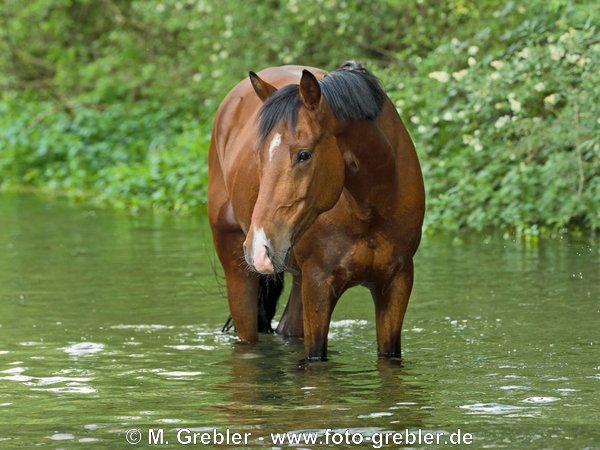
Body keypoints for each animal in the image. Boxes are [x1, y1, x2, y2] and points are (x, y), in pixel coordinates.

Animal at [209, 61, 424, 360]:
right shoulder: (319, 285)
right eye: (258, 155)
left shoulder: (396, 284)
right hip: (239, 274)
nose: (259, 246)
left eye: (304, 154)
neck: (369, 208)